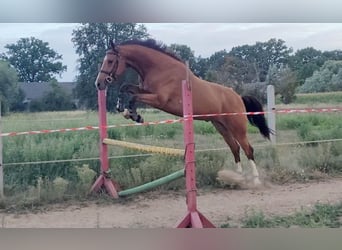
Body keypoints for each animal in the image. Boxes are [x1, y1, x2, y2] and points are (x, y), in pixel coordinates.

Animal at [95, 38, 272, 185]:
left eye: (110, 61)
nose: (99, 84)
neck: (159, 68)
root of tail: (238, 97)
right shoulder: (146, 91)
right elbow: (126, 87)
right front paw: (122, 108)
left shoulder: (159, 99)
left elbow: (133, 97)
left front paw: (133, 115)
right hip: (221, 126)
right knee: (235, 148)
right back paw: (238, 178)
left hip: (237, 127)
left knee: (248, 149)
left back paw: (255, 180)